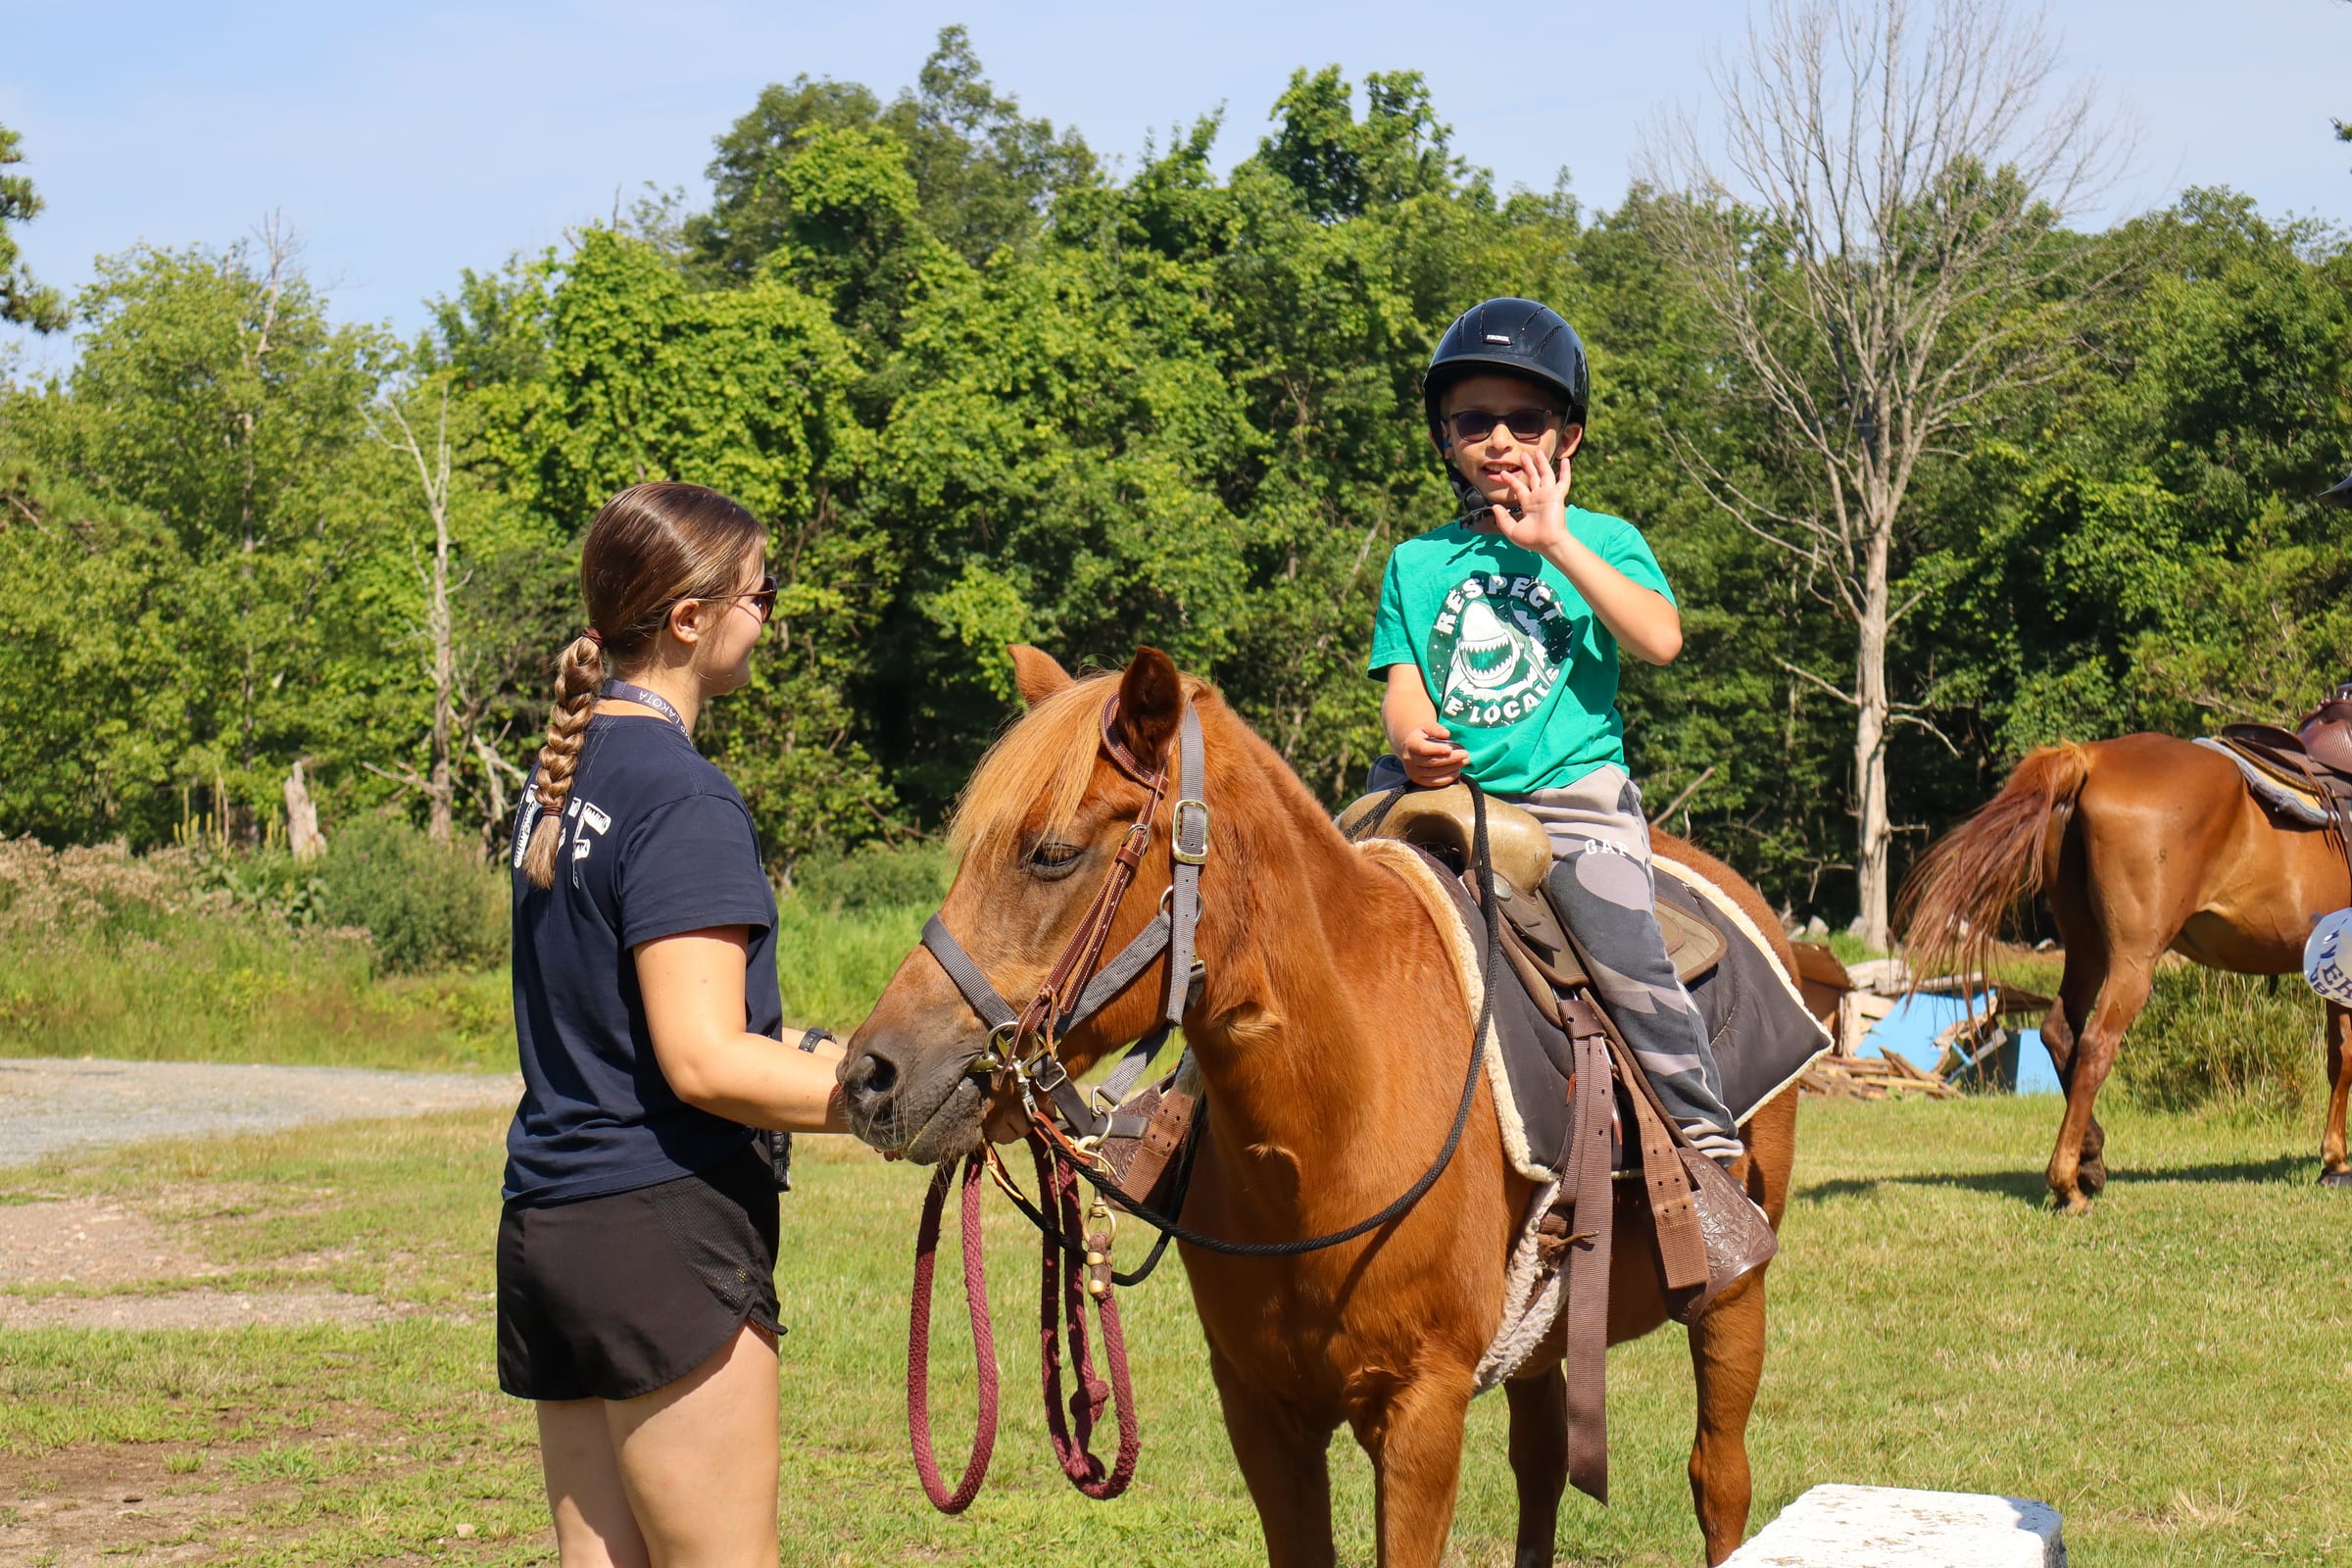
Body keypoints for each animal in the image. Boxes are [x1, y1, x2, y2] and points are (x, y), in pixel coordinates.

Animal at [840, 644, 1804, 1567]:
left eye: (1050, 854)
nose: (869, 1077)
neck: (1333, 1129)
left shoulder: (1421, 1413)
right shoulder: (1261, 1411)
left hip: (1736, 1298)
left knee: (1718, 1476)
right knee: (1541, 1462)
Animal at [1897, 734, 2352, 1214]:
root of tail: (2090, 758)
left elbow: (2339, 1059)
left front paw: (2333, 1161)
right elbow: (2346, 1061)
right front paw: (2336, 1160)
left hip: (2087, 949)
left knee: (2059, 1031)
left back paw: (2091, 1159)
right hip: (2133, 960)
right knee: (2096, 1044)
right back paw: (2068, 1184)